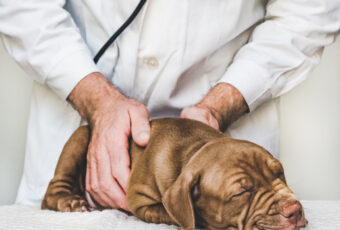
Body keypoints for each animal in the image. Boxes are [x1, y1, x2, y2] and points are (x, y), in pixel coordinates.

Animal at [41, 118, 308, 230]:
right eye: (241, 193)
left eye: (280, 173)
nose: (294, 210)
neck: (194, 149)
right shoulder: (140, 200)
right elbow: (173, 213)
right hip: (81, 136)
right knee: (52, 192)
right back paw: (71, 202)